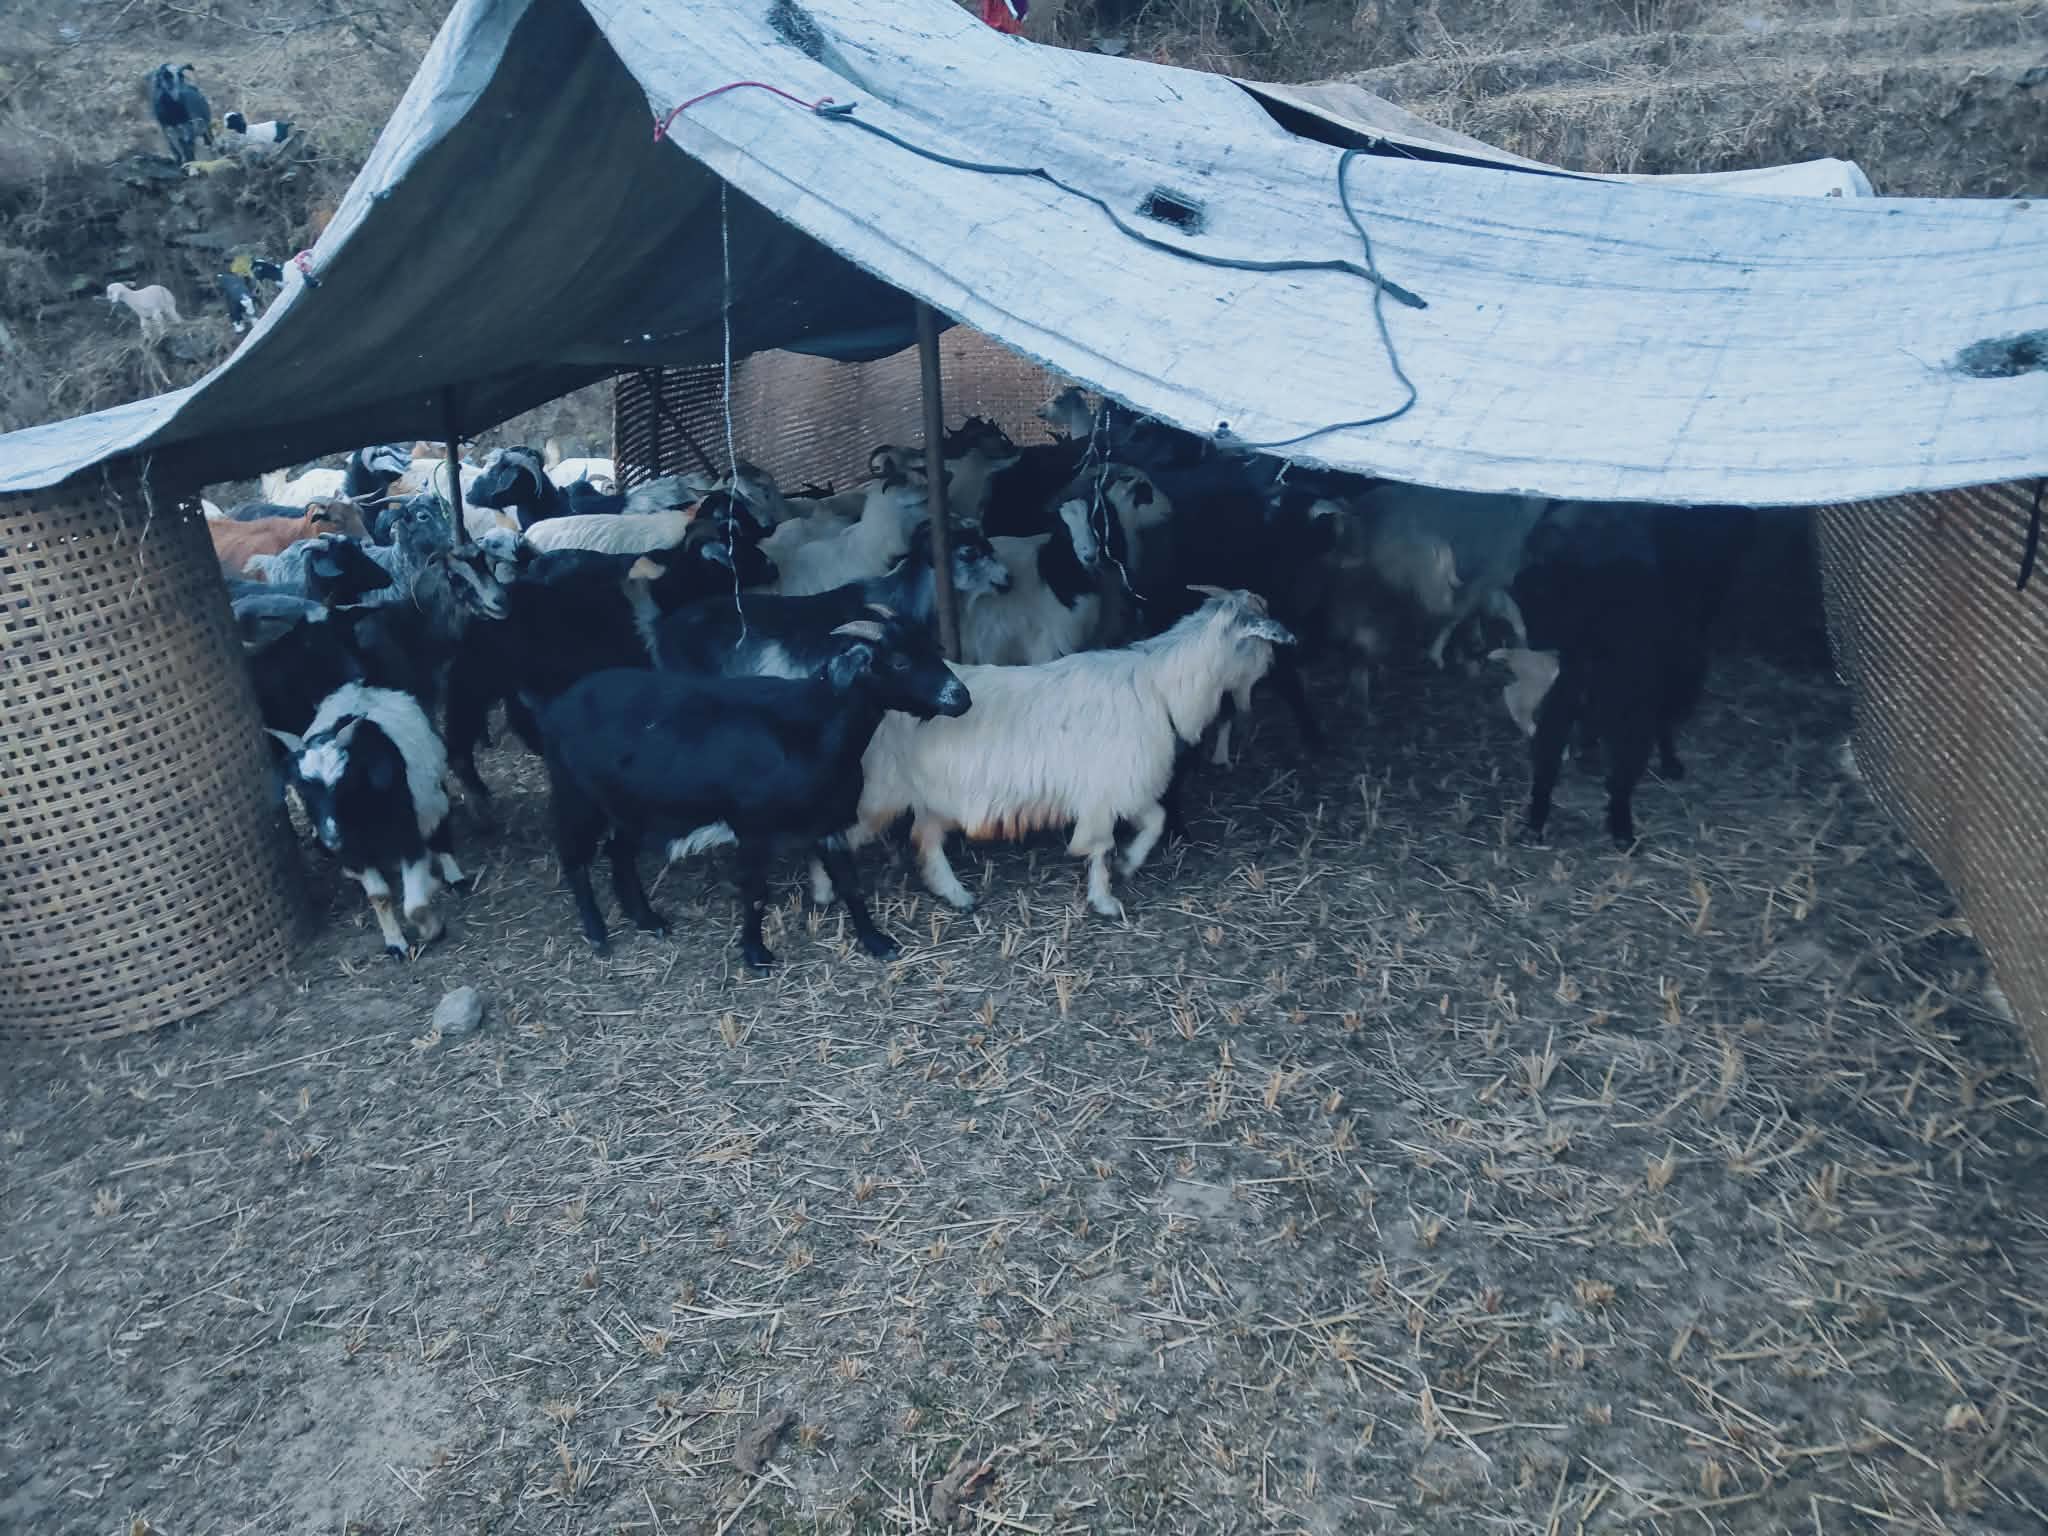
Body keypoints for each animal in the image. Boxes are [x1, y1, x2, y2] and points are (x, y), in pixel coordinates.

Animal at [269, 684, 465, 958]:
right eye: (302, 790)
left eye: (345, 784)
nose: (331, 838)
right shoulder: (355, 853)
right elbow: (379, 896)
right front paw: (396, 944)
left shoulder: (407, 836)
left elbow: (414, 905)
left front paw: (433, 928)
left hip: (433, 795)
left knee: (440, 829)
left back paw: (455, 876)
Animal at [535, 611, 971, 968]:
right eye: (899, 661)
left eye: (934, 650)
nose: (962, 699)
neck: (814, 726)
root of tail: (559, 705)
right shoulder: (753, 827)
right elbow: (757, 891)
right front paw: (756, 953)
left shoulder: (831, 819)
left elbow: (850, 883)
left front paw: (876, 941)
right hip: (575, 793)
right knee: (574, 858)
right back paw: (597, 933)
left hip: (631, 803)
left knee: (619, 852)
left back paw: (648, 919)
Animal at [817, 588, 1294, 920]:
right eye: (1259, 643)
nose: (1272, 669)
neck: (1159, 686)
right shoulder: (1110, 790)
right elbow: (1100, 846)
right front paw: (1107, 897)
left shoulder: (1124, 788)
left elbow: (1154, 823)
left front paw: (1128, 865)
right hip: (877, 795)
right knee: (835, 837)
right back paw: (823, 893)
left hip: (933, 799)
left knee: (925, 842)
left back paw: (959, 896)